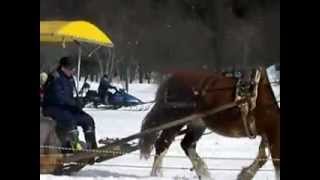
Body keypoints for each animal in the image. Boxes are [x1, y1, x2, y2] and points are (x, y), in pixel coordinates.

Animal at [139, 68, 278, 180]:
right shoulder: (272, 132)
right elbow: (275, 162)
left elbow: (263, 156)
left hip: (197, 123)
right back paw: (156, 175)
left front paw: (245, 174)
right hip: (176, 120)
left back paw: (202, 172)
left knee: (186, 144)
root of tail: (171, 79)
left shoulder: (267, 133)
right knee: (163, 143)